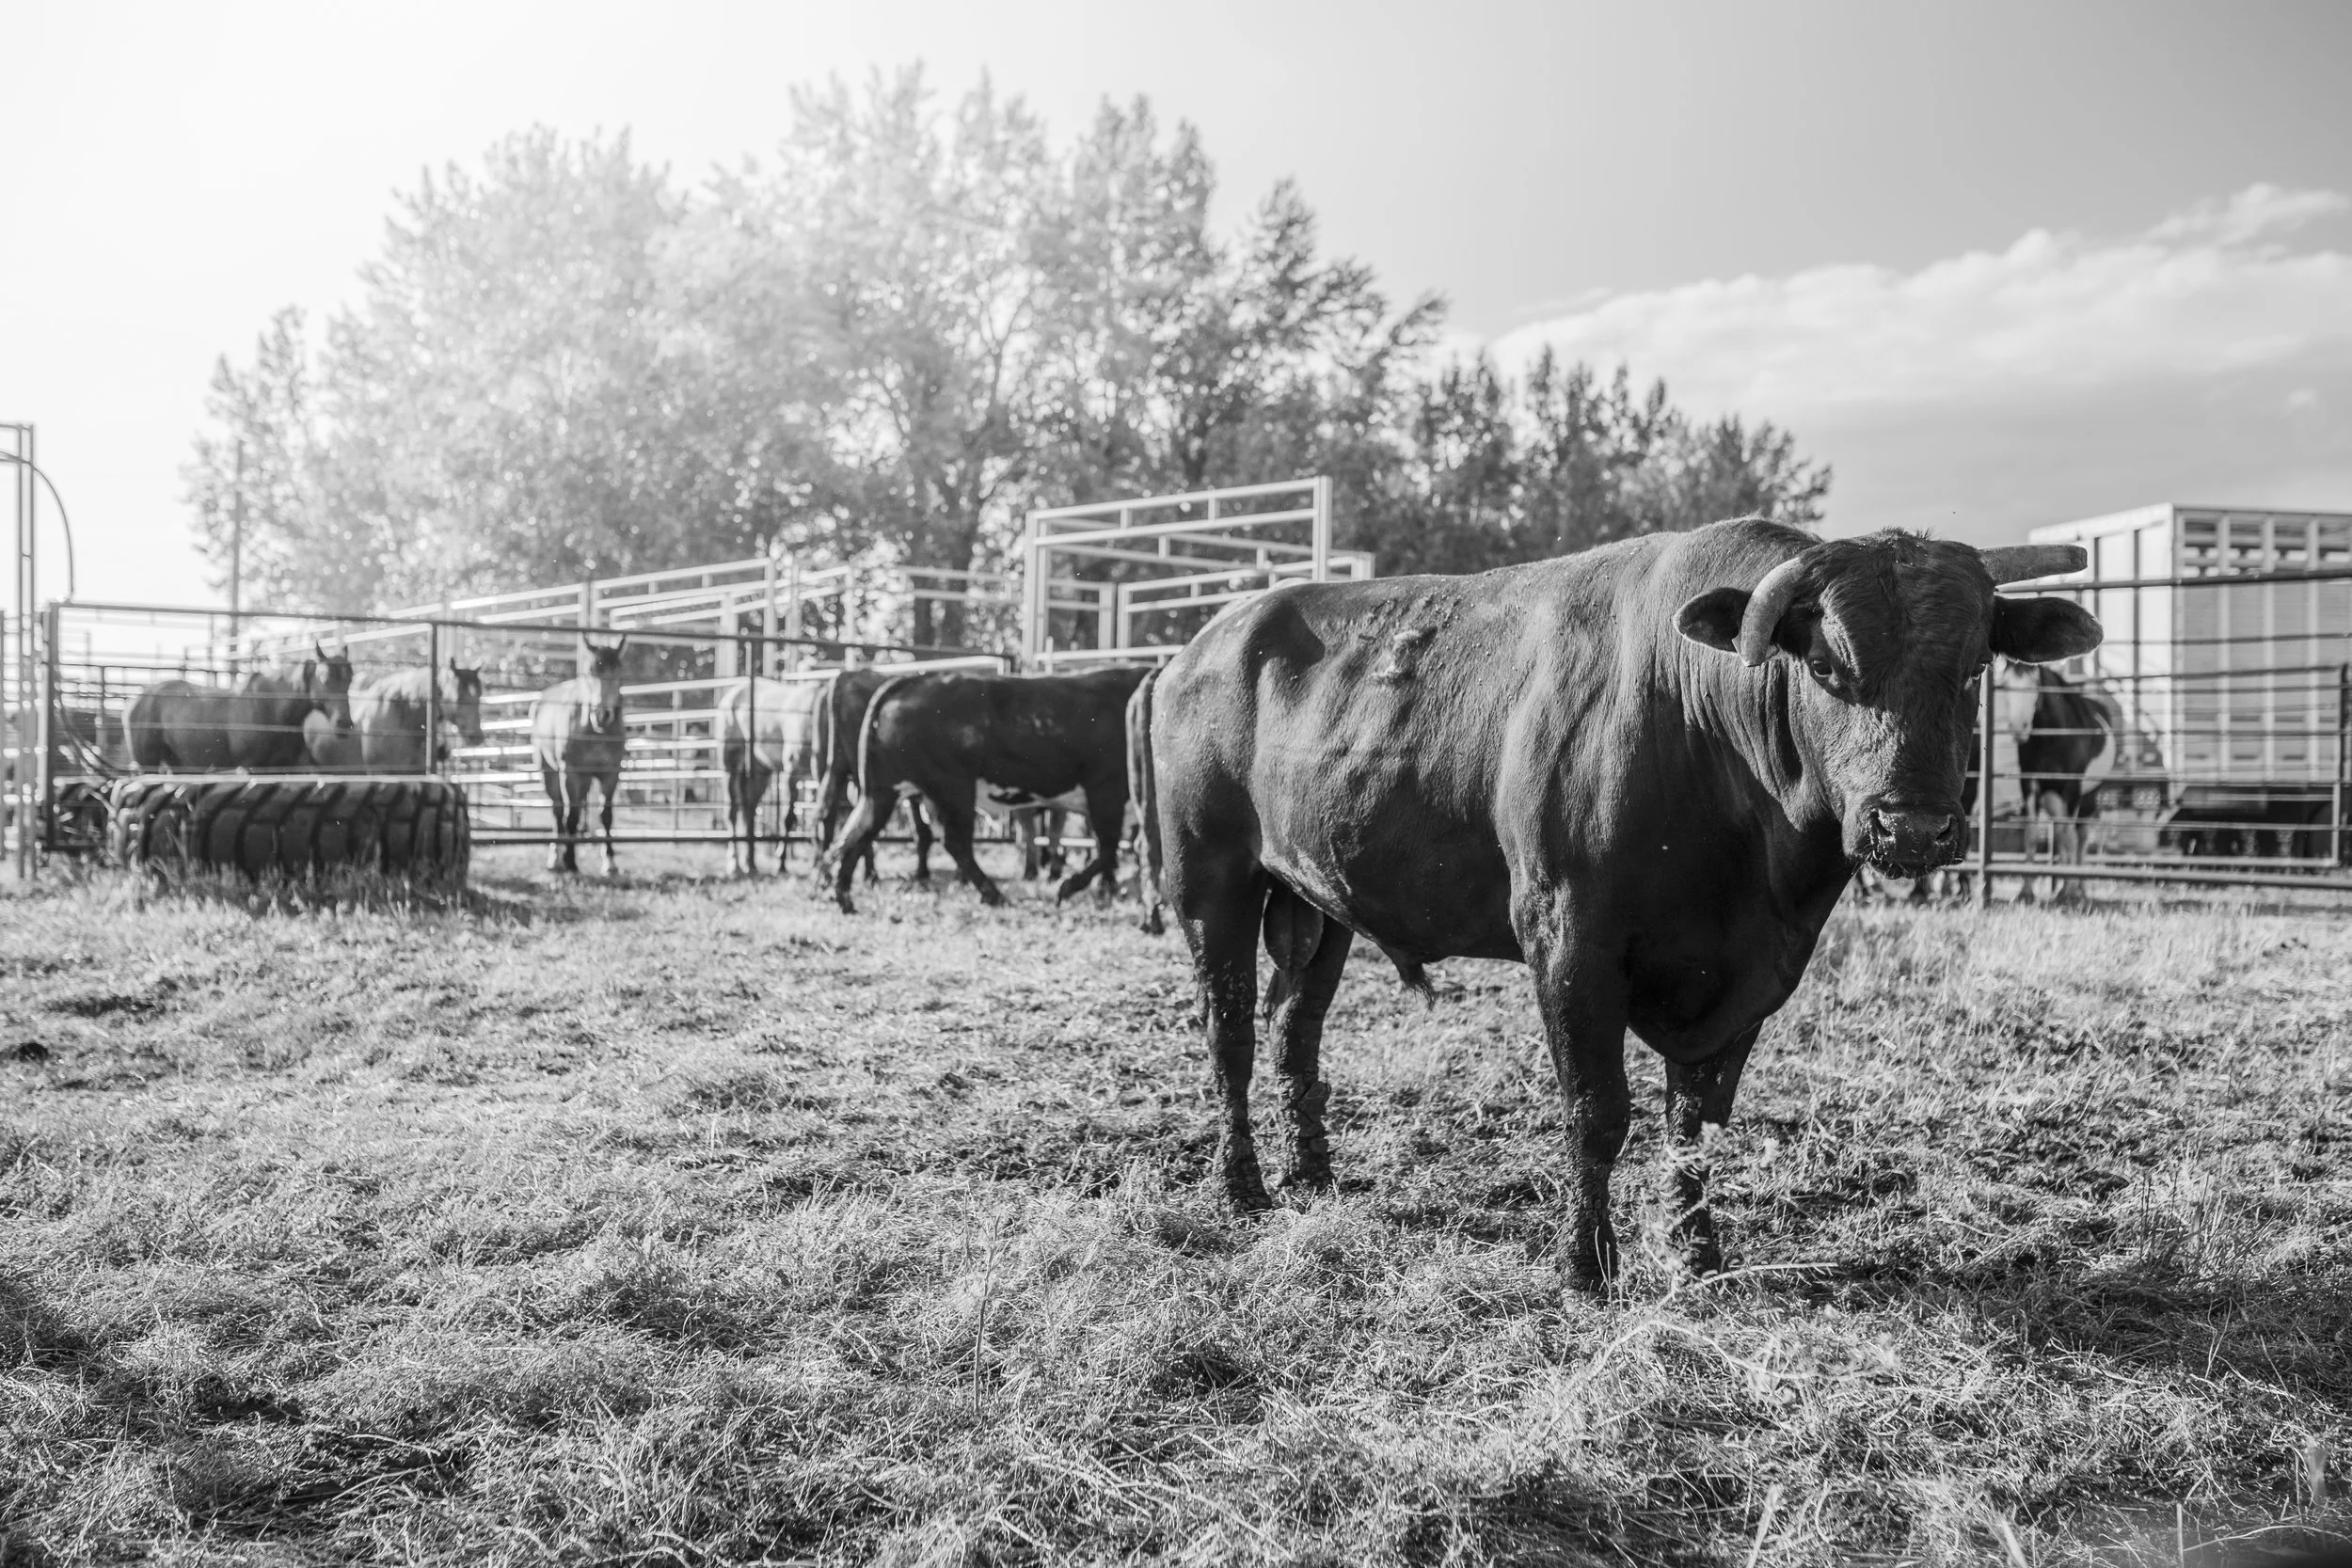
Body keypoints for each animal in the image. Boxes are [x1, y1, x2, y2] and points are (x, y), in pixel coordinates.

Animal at [126, 644, 355, 771]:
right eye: (324, 678)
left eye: (350, 679)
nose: (344, 723)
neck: (274, 710)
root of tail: (134, 701)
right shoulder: (248, 765)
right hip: (147, 763)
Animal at [530, 637, 629, 875]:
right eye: (591, 670)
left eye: (618, 670)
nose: (602, 715)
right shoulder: (571, 774)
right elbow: (571, 816)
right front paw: (570, 861)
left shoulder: (611, 774)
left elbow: (606, 816)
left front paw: (610, 862)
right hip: (550, 772)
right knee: (558, 812)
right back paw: (555, 857)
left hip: (584, 780)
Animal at [824, 664, 1152, 915]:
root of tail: (912, 679)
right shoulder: (1105, 792)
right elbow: (1108, 848)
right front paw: (1069, 887)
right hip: (954, 790)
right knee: (956, 843)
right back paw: (993, 893)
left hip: (883, 791)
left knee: (855, 835)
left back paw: (843, 896)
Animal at [1140, 519, 2101, 1291]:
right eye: (1826, 665)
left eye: (1974, 668)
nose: (1914, 826)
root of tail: (1203, 642)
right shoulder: (1569, 938)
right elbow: (1597, 1112)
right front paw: (1585, 1266)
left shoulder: (1751, 972)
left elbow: (1694, 1120)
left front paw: (1696, 1254)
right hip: (1210, 883)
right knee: (1228, 1032)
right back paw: (1242, 1186)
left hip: (1318, 903)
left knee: (1293, 1030)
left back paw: (1313, 1176)